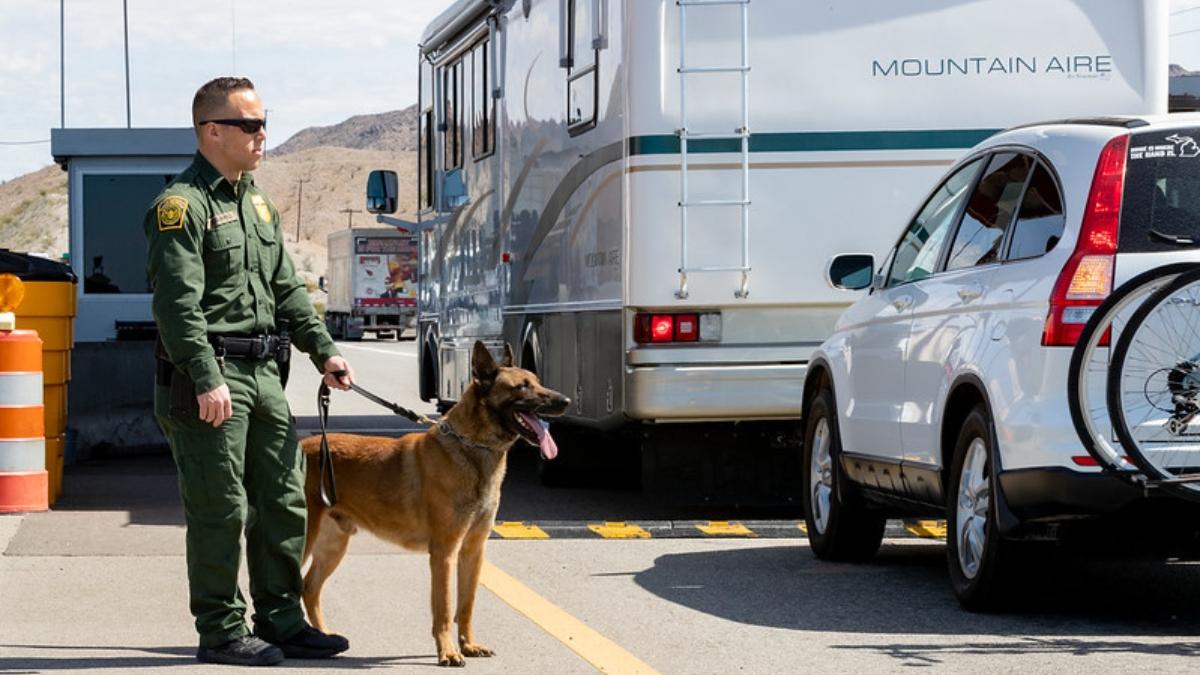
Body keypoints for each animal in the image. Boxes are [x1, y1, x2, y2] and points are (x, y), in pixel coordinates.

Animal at [297, 338, 564, 662]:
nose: (565, 401)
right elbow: (445, 608)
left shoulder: (473, 551)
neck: (472, 448)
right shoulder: (444, 553)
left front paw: (468, 644)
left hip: (333, 545)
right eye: (522, 386)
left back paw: (324, 637)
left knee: (309, 588)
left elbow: (466, 606)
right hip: (304, 540)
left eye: (537, 381)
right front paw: (448, 651)